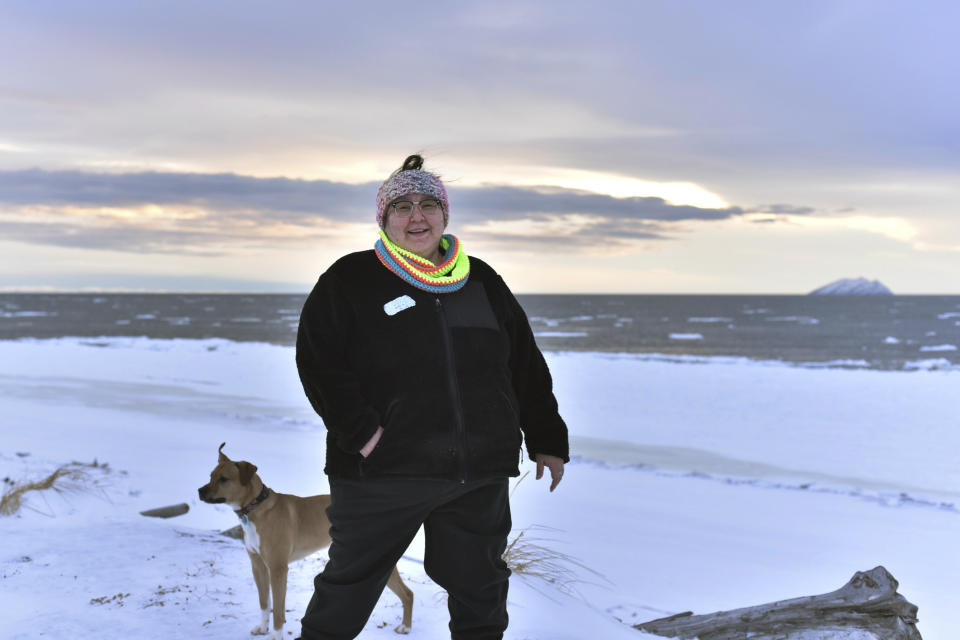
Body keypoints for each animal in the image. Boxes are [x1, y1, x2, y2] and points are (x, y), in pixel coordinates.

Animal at [199, 444, 412, 640]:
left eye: (224, 479)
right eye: (210, 475)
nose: (199, 491)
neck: (256, 508)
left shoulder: (277, 569)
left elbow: (278, 609)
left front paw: (276, 635)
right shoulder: (258, 566)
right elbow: (264, 602)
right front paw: (262, 628)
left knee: (407, 593)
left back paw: (406, 627)